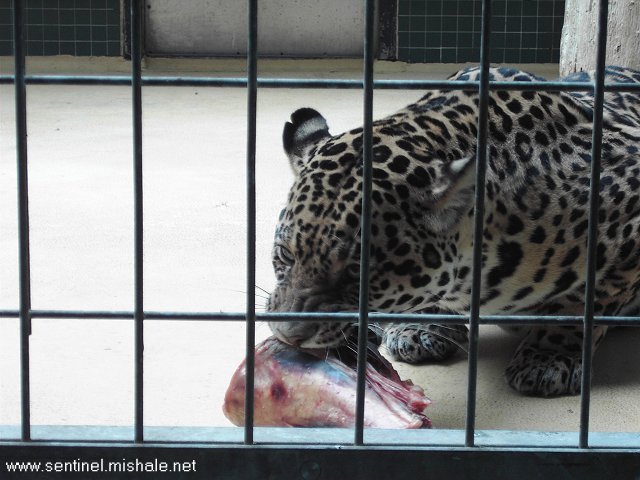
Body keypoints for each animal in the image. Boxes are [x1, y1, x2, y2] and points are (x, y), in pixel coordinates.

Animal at [266, 65, 640, 397]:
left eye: (357, 272)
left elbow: (582, 304)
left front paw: (548, 356)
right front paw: (420, 327)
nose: (288, 334)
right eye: (285, 253)